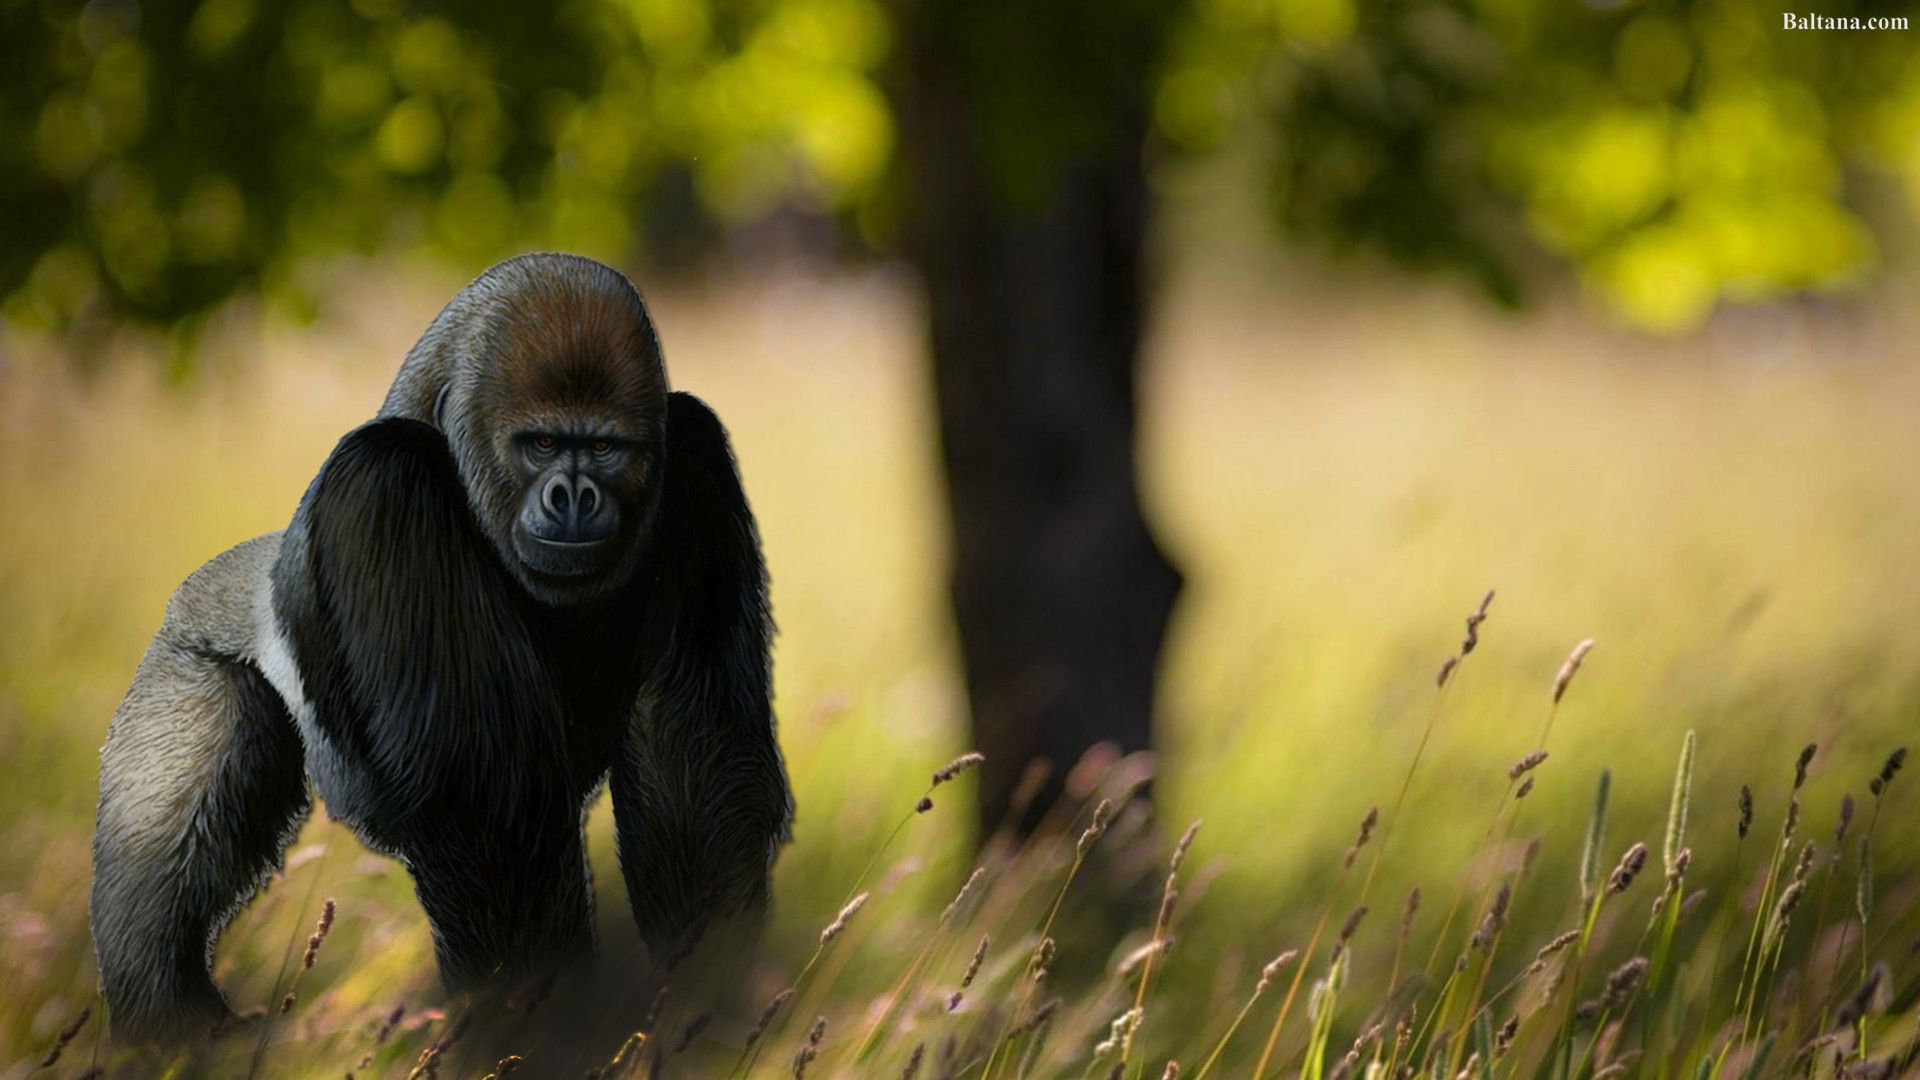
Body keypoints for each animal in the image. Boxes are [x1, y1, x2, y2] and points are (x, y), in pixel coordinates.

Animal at [88, 253, 793, 1043]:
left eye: (605, 449)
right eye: (542, 444)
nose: (574, 497)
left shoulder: (697, 457)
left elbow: (695, 760)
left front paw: (702, 1001)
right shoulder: (383, 478)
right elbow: (483, 803)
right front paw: (540, 1028)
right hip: (186, 656)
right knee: (160, 855)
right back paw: (167, 1023)